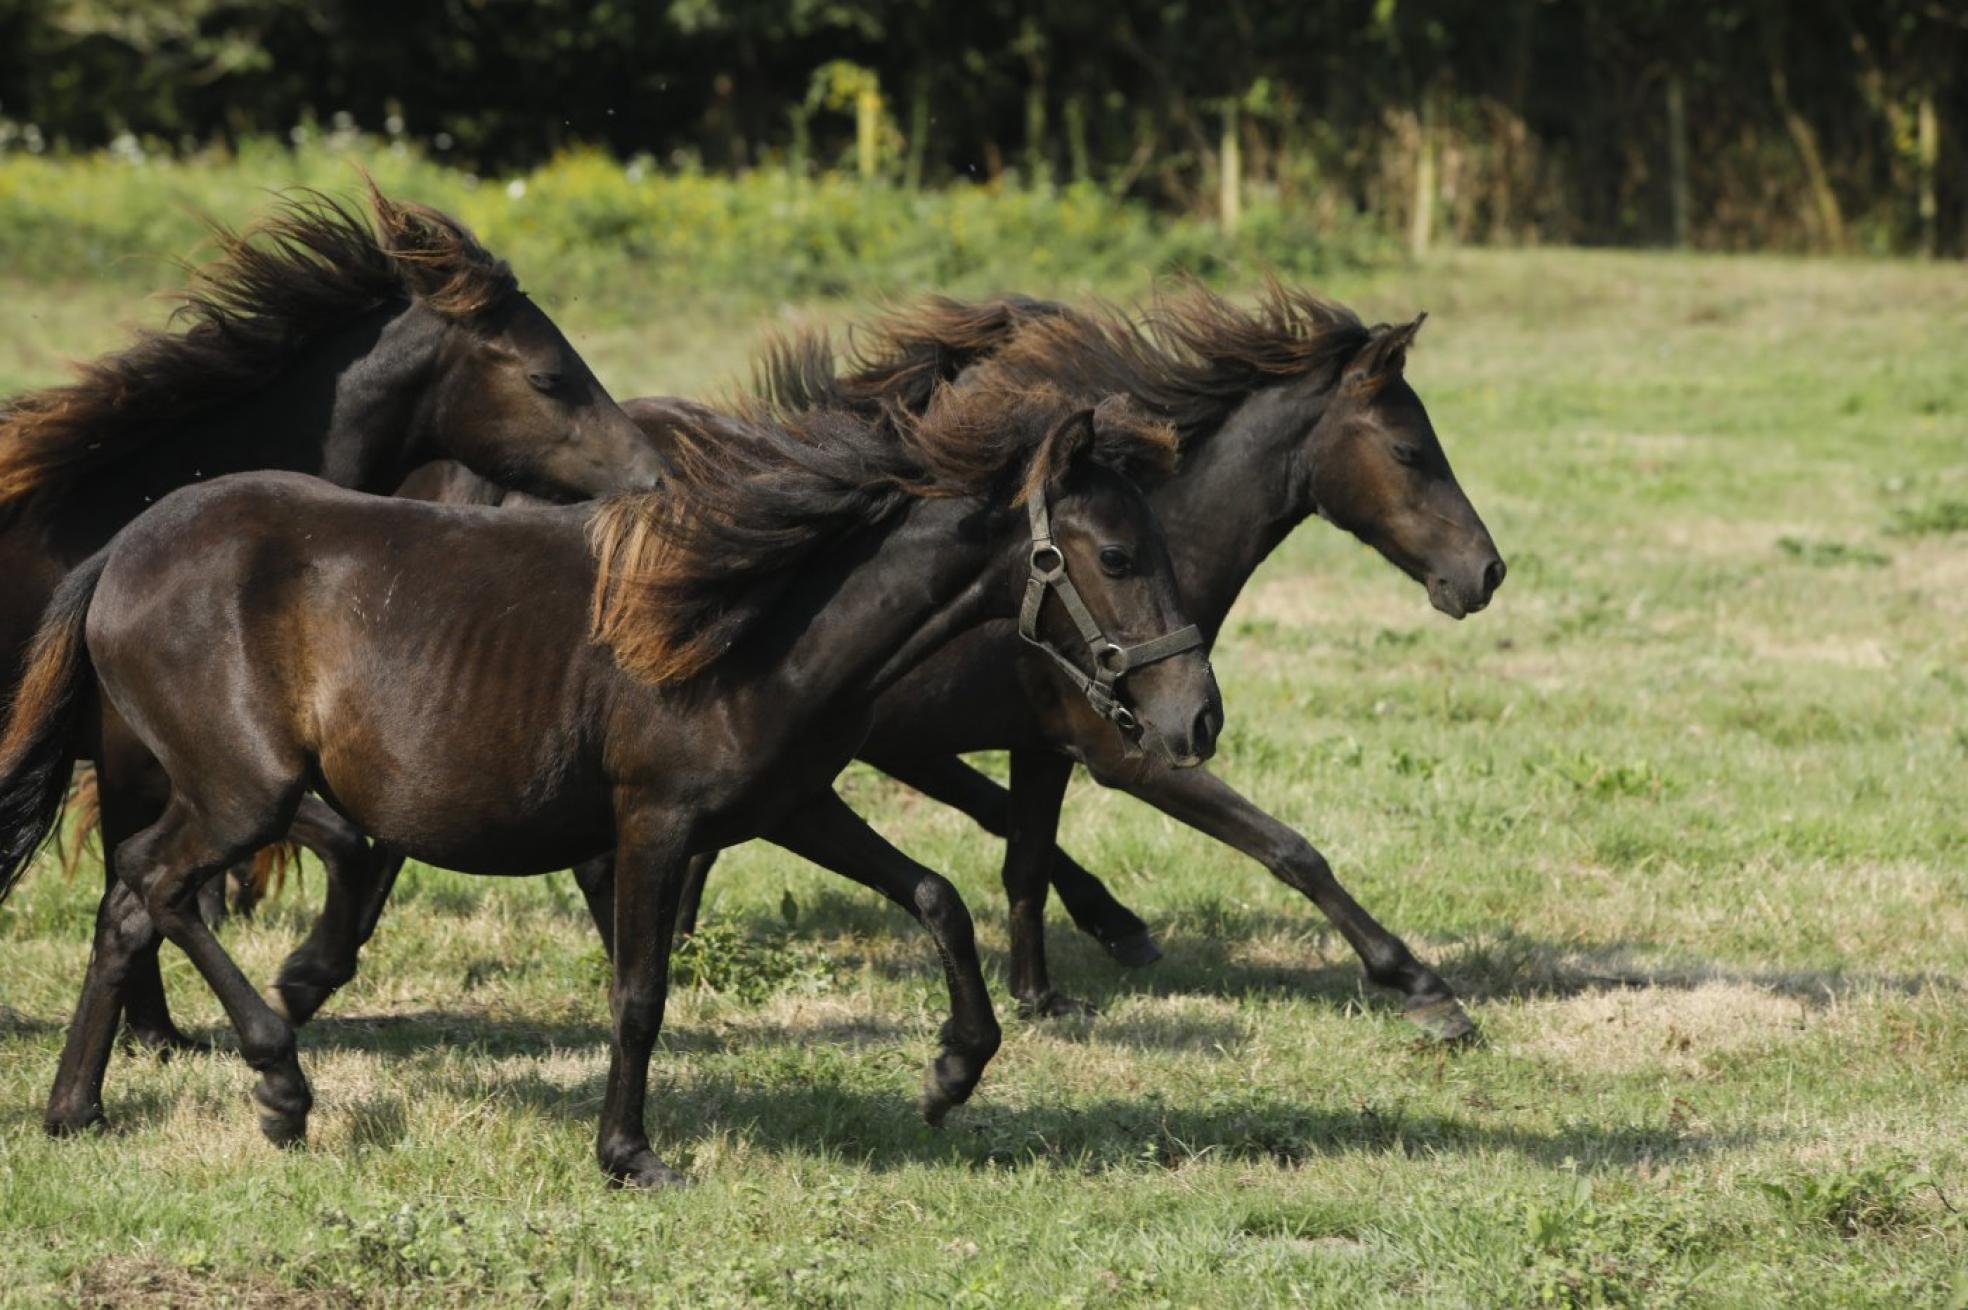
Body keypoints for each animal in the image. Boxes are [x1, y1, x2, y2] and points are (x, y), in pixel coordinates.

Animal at [0, 383, 1220, 1180]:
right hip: (242, 791)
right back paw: (278, 1077)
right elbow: (639, 993)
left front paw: (952, 1073)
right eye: (1116, 556)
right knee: (153, 887)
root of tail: (125, 549)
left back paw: (78, 1109)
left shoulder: (792, 806)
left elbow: (938, 896)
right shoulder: (654, 823)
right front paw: (629, 1153)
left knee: (128, 905)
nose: (1195, 718)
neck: (749, 622)